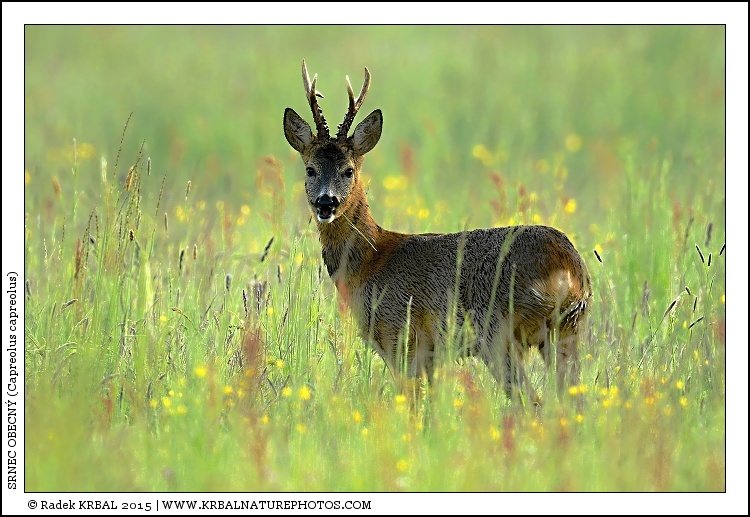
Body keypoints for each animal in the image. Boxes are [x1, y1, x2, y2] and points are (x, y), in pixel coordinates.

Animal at [283, 60, 592, 406]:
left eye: (348, 170)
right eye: (310, 169)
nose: (327, 202)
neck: (370, 263)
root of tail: (570, 269)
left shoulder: (401, 337)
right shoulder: (428, 355)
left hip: (498, 331)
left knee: (532, 402)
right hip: (567, 330)